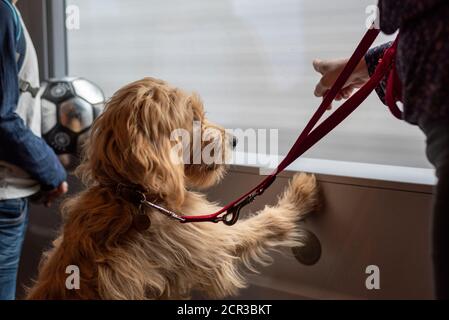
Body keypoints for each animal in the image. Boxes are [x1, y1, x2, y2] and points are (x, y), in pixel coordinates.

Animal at [27, 77, 318, 300]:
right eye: (194, 118)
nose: (235, 140)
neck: (134, 196)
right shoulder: (211, 242)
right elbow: (266, 223)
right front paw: (301, 192)